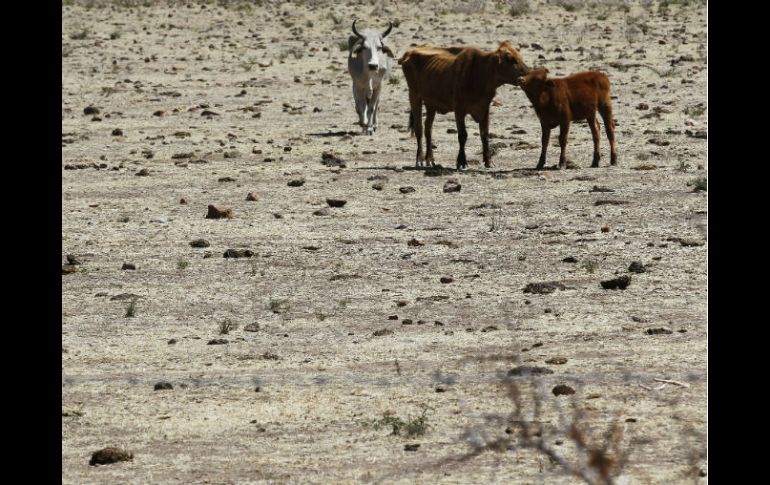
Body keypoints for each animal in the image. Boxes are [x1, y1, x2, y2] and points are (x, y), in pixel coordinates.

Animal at [396, 42, 528, 170]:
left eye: (520, 57)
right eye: (510, 59)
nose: (527, 73)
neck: (480, 72)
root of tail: (409, 53)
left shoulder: (484, 108)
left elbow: (484, 134)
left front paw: (489, 161)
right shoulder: (459, 109)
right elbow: (463, 135)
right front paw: (462, 162)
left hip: (431, 104)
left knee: (428, 128)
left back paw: (430, 159)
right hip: (414, 95)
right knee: (419, 128)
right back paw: (420, 159)